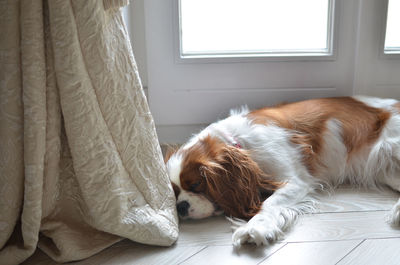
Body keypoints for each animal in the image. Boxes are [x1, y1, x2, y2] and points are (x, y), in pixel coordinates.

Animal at [163, 96, 400, 246]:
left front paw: (255, 228)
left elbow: (269, 204)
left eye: (196, 185)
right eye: (174, 191)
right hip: (385, 169)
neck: (238, 142)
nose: (181, 207)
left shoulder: (296, 182)